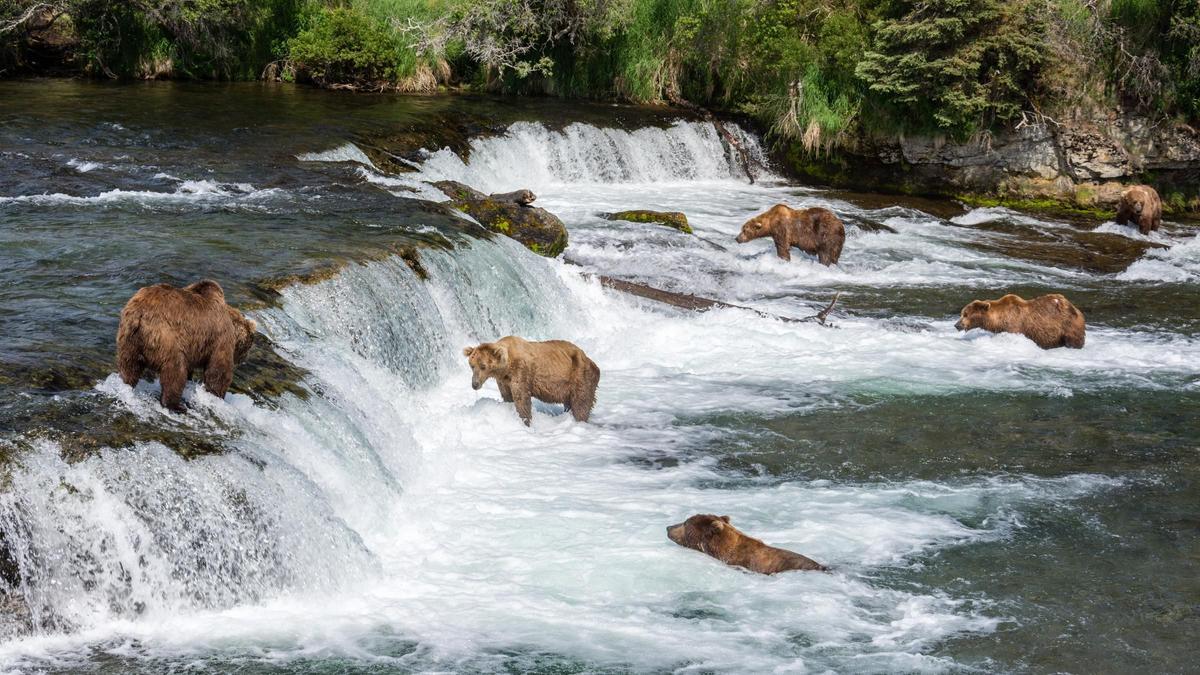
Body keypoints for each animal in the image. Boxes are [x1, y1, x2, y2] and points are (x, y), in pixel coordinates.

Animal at [115, 278, 256, 410]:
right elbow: (218, 370)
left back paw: (126, 385)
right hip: (166, 337)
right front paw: (217, 395)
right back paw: (175, 405)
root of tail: (140, 314)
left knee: (129, 367)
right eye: (250, 344)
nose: (244, 359)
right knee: (175, 371)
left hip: (129, 339)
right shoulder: (220, 337)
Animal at [465, 333, 604, 422]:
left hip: (580, 376)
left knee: (581, 403)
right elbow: (508, 396)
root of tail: (590, 360)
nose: (475, 384)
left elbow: (522, 399)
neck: (506, 367)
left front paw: (525, 420)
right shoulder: (503, 380)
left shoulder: (521, 371)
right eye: (472, 365)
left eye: (483, 366)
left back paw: (579, 419)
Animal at [955, 291, 1089, 348]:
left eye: (965, 314)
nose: (957, 325)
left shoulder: (1015, 325)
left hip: (1069, 325)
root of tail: (1077, 310)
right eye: (962, 313)